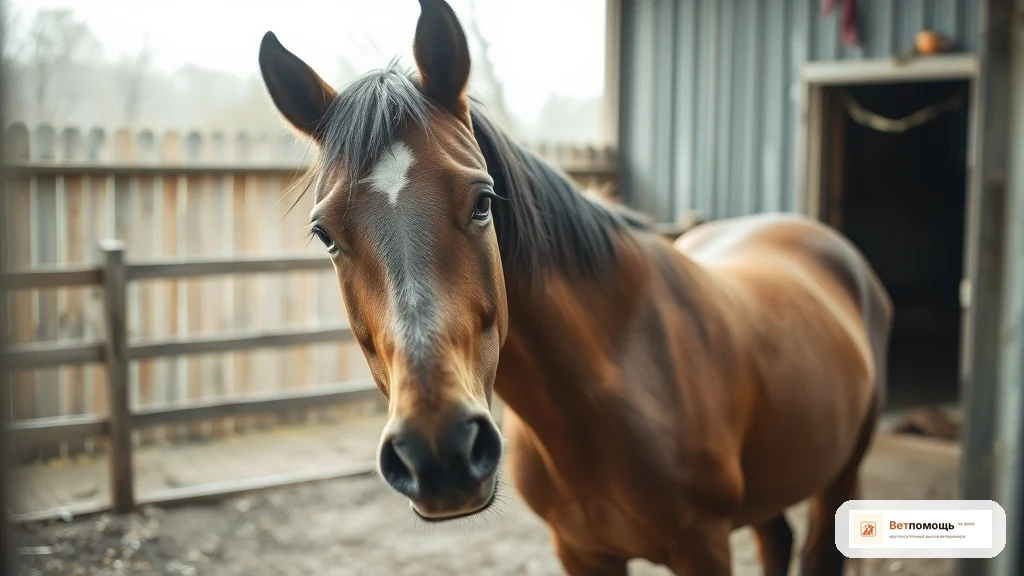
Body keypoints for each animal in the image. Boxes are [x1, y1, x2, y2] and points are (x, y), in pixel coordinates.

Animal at [256, 1, 893, 574]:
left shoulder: (703, 546)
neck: (609, 379)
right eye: (325, 234)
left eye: (483, 202)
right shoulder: (580, 551)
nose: (438, 453)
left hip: (841, 474)